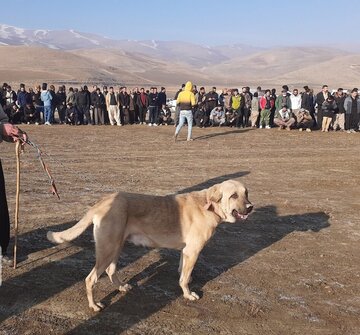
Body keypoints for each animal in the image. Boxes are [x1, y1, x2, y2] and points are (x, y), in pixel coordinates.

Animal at [46, 181, 252, 312]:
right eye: (233, 196)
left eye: (246, 193)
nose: (250, 207)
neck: (209, 206)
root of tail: (102, 202)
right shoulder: (193, 251)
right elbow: (184, 279)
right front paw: (188, 294)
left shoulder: (185, 251)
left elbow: (183, 272)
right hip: (107, 249)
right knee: (90, 279)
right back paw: (94, 305)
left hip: (116, 246)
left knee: (111, 271)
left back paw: (122, 287)